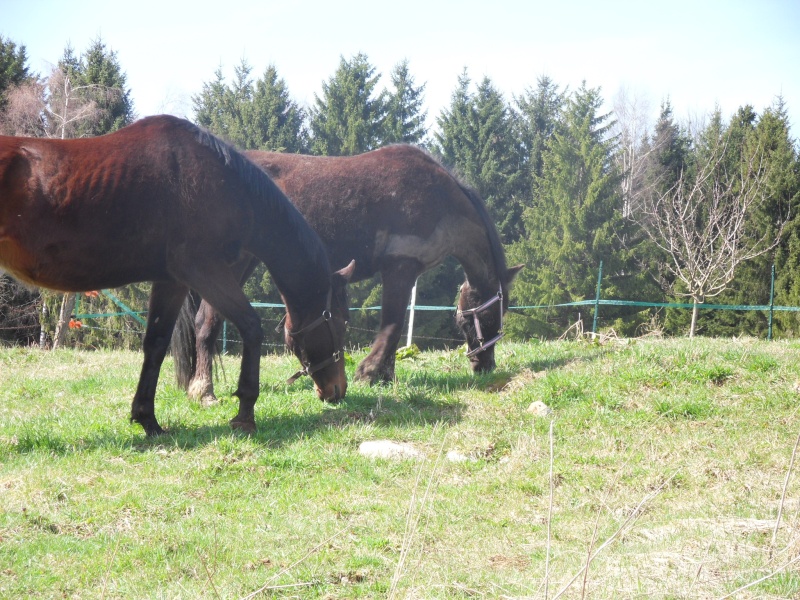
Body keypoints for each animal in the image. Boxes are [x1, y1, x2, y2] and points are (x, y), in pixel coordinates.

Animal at [0, 116, 352, 436]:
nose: (338, 390)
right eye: (339, 322)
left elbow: (156, 344)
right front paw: (245, 414)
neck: (220, 183)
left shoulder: (172, 281)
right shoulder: (203, 268)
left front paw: (148, 420)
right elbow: (251, 327)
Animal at [177, 144, 520, 404]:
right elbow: (392, 326)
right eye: (491, 315)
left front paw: (385, 375)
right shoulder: (399, 268)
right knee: (205, 322)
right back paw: (204, 391)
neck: (439, 197)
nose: (485, 365)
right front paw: (369, 373)